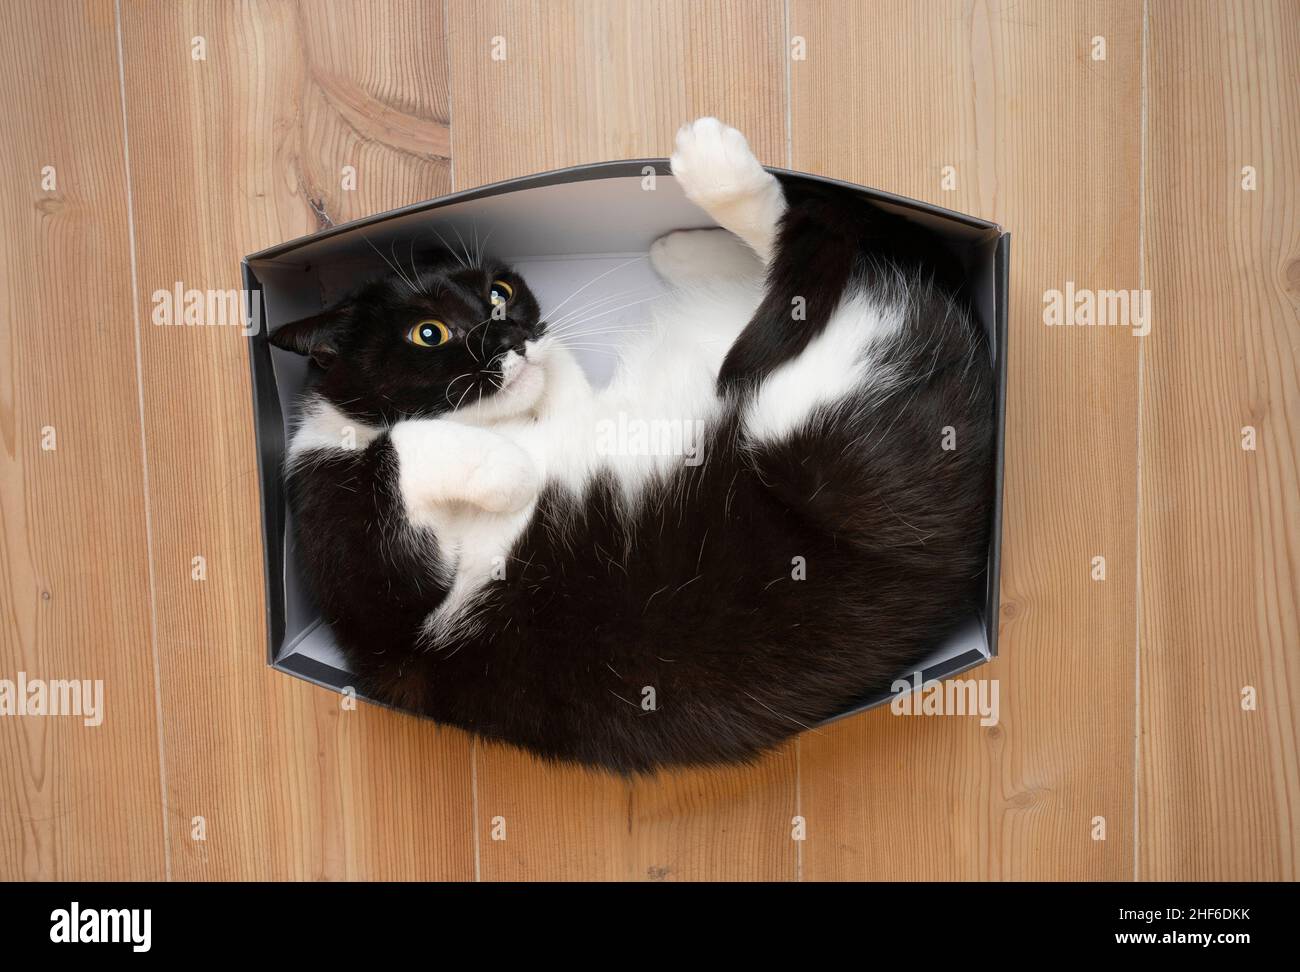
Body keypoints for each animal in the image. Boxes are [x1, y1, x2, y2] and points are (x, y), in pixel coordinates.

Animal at [269, 117, 987, 769]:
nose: (511, 337)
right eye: (428, 333)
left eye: (500, 293)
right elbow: (398, 452)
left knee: (812, 269)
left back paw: (701, 209)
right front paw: (510, 470)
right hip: (811, 439)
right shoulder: (379, 608)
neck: (512, 422)